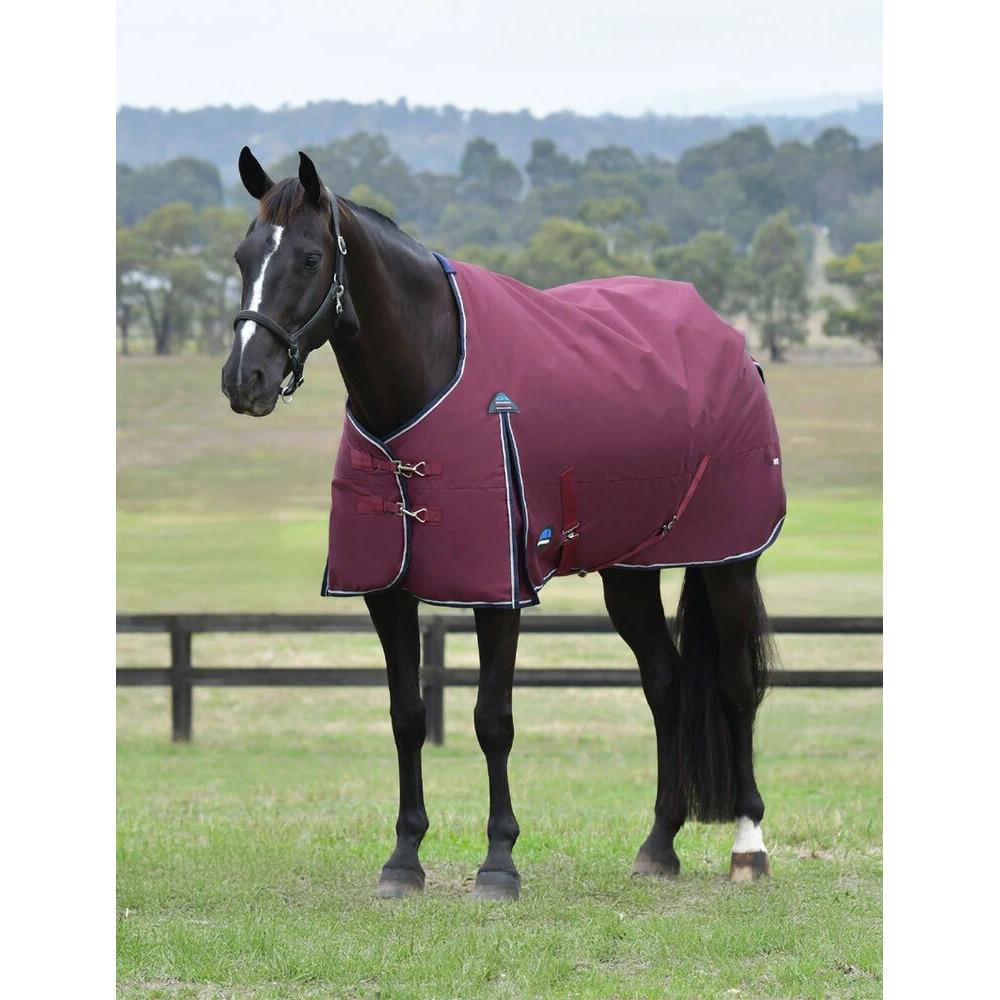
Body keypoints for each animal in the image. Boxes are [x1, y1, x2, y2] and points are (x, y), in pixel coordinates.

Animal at [221, 147, 781, 900]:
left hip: (728, 562)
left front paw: (499, 863)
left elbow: (493, 720)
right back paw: (658, 844)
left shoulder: (499, 590)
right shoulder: (385, 591)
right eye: (243, 255)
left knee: (735, 684)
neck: (426, 379)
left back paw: (749, 847)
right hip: (630, 572)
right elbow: (408, 716)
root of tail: (732, 343)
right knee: (664, 684)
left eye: (310, 258)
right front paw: (404, 860)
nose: (243, 379)